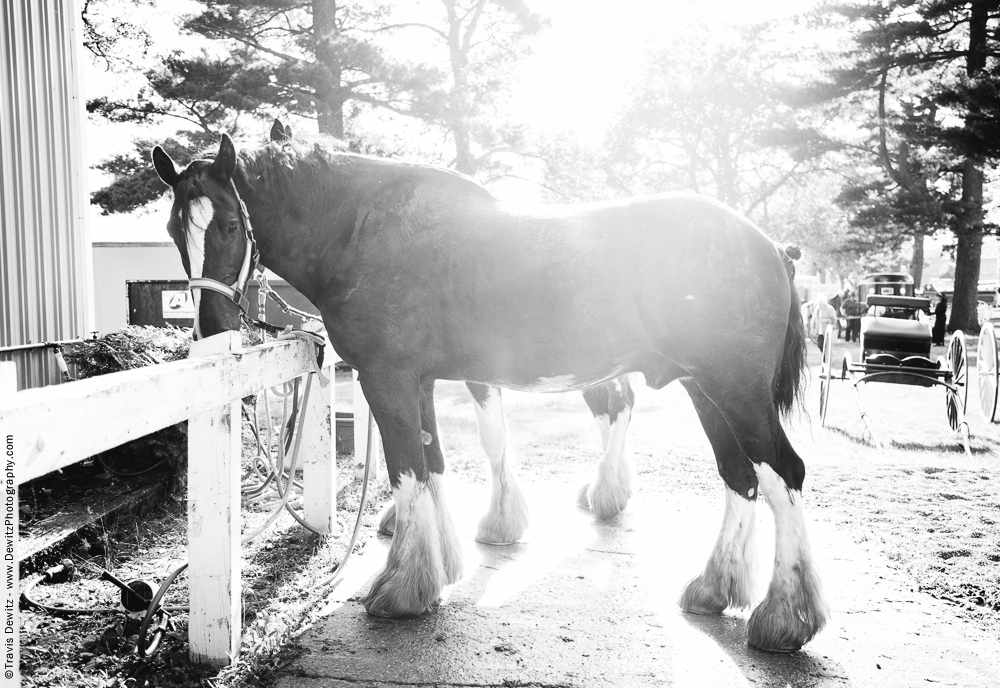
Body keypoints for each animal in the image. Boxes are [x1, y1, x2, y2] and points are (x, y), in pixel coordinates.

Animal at [152, 122, 828, 652]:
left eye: (231, 222)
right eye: (172, 230)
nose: (211, 329)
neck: (361, 230)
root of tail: (770, 246)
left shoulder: (388, 381)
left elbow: (407, 471)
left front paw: (400, 590)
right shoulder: (419, 383)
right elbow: (433, 465)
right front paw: (440, 568)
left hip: (735, 391)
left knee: (781, 474)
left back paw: (785, 618)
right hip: (704, 391)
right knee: (739, 477)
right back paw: (715, 589)